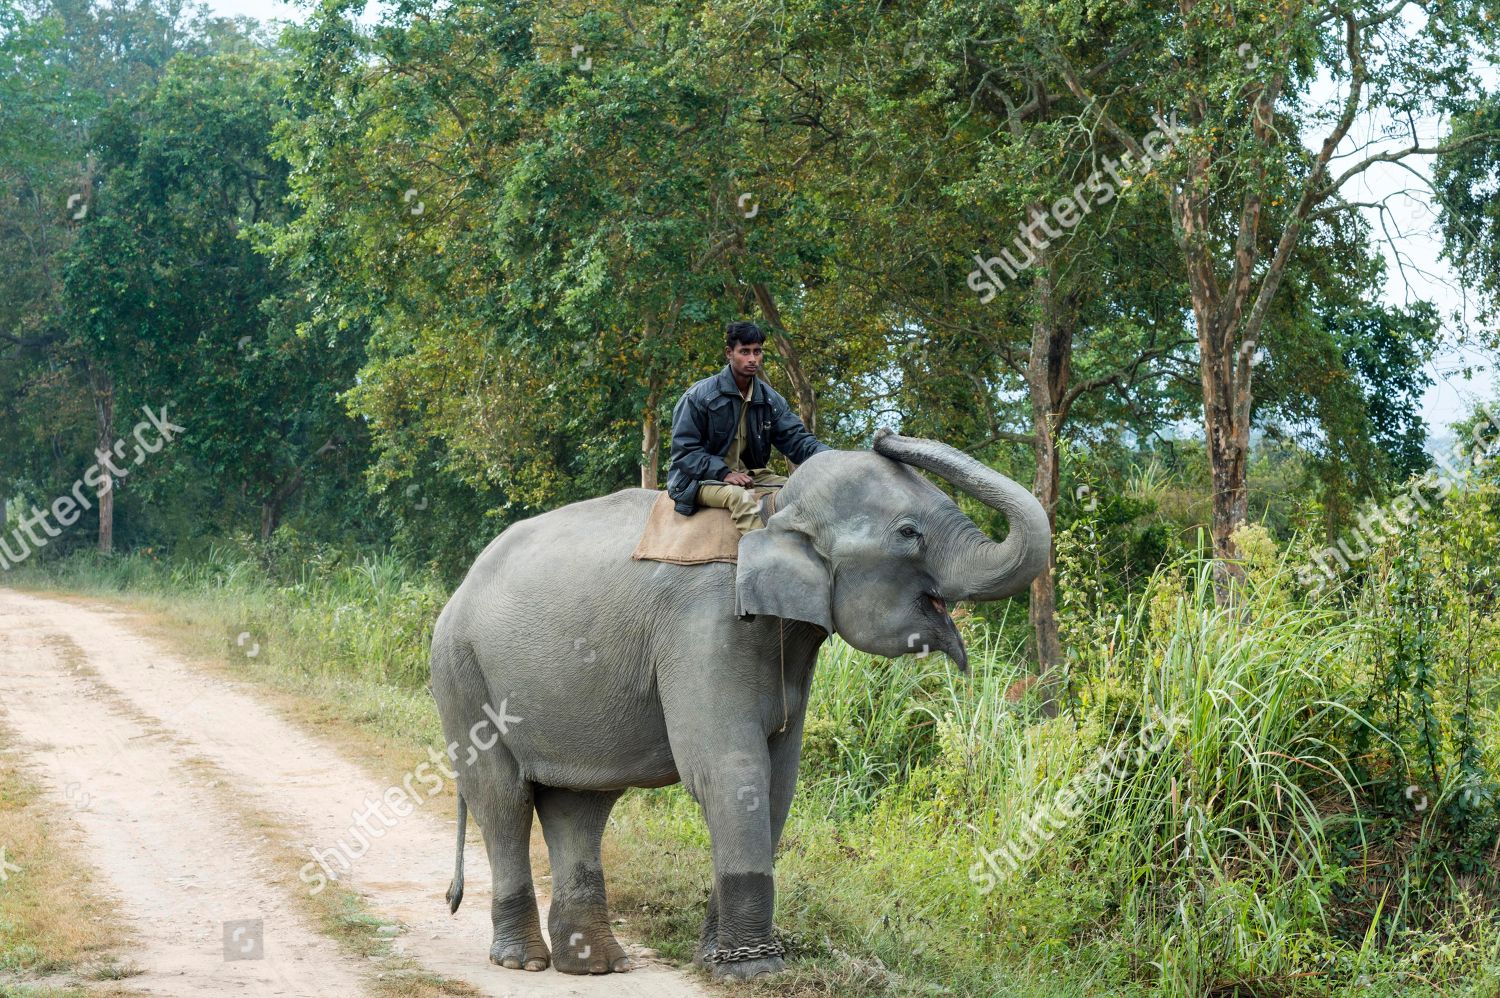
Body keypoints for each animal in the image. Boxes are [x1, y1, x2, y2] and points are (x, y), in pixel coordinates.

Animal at [429, 428, 1049, 981]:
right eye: (908, 532)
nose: (884, 432)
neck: (773, 507)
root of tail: (459, 589)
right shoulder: (703, 624)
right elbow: (730, 770)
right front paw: (753, 970)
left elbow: (780, 778)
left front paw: (719, 960)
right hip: (461, 673)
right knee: (503, 798)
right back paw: (524, 962)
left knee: (579, 803)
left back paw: (596, 966)